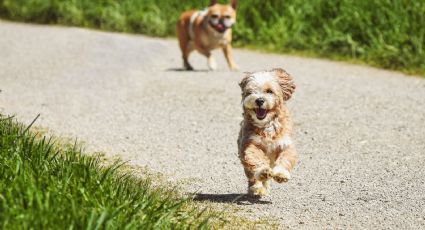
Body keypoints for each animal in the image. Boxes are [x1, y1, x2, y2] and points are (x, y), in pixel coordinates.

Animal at [237, 68, 296, 196]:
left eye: (269, 91)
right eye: (250, 92)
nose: (259, 100)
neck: (267, 124)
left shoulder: (285, 143)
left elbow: (286, 158)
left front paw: (281, 174)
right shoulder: (250, 143)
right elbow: (255, 158)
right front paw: (263, 171)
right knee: (252, 175)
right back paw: (257, 187)